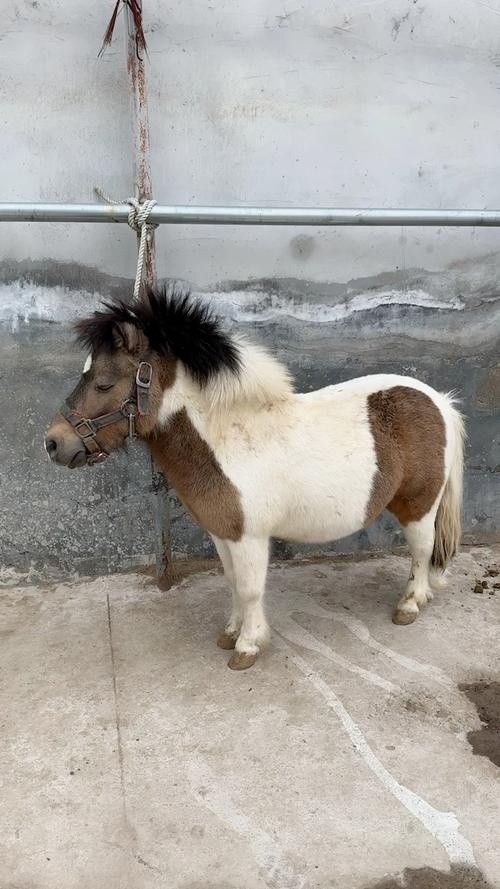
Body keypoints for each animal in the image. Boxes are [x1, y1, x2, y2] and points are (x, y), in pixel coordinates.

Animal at [45, 287, 465, 670]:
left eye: (103, 383)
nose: (53, 443)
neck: (224, 438)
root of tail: (439, 400)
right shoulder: (223, 533)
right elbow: (233, 583)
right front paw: (231, 633)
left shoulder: (250, 537)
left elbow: (249, 590)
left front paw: (248, 645)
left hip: (420, 505)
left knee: (422, 550)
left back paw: (410, 604)